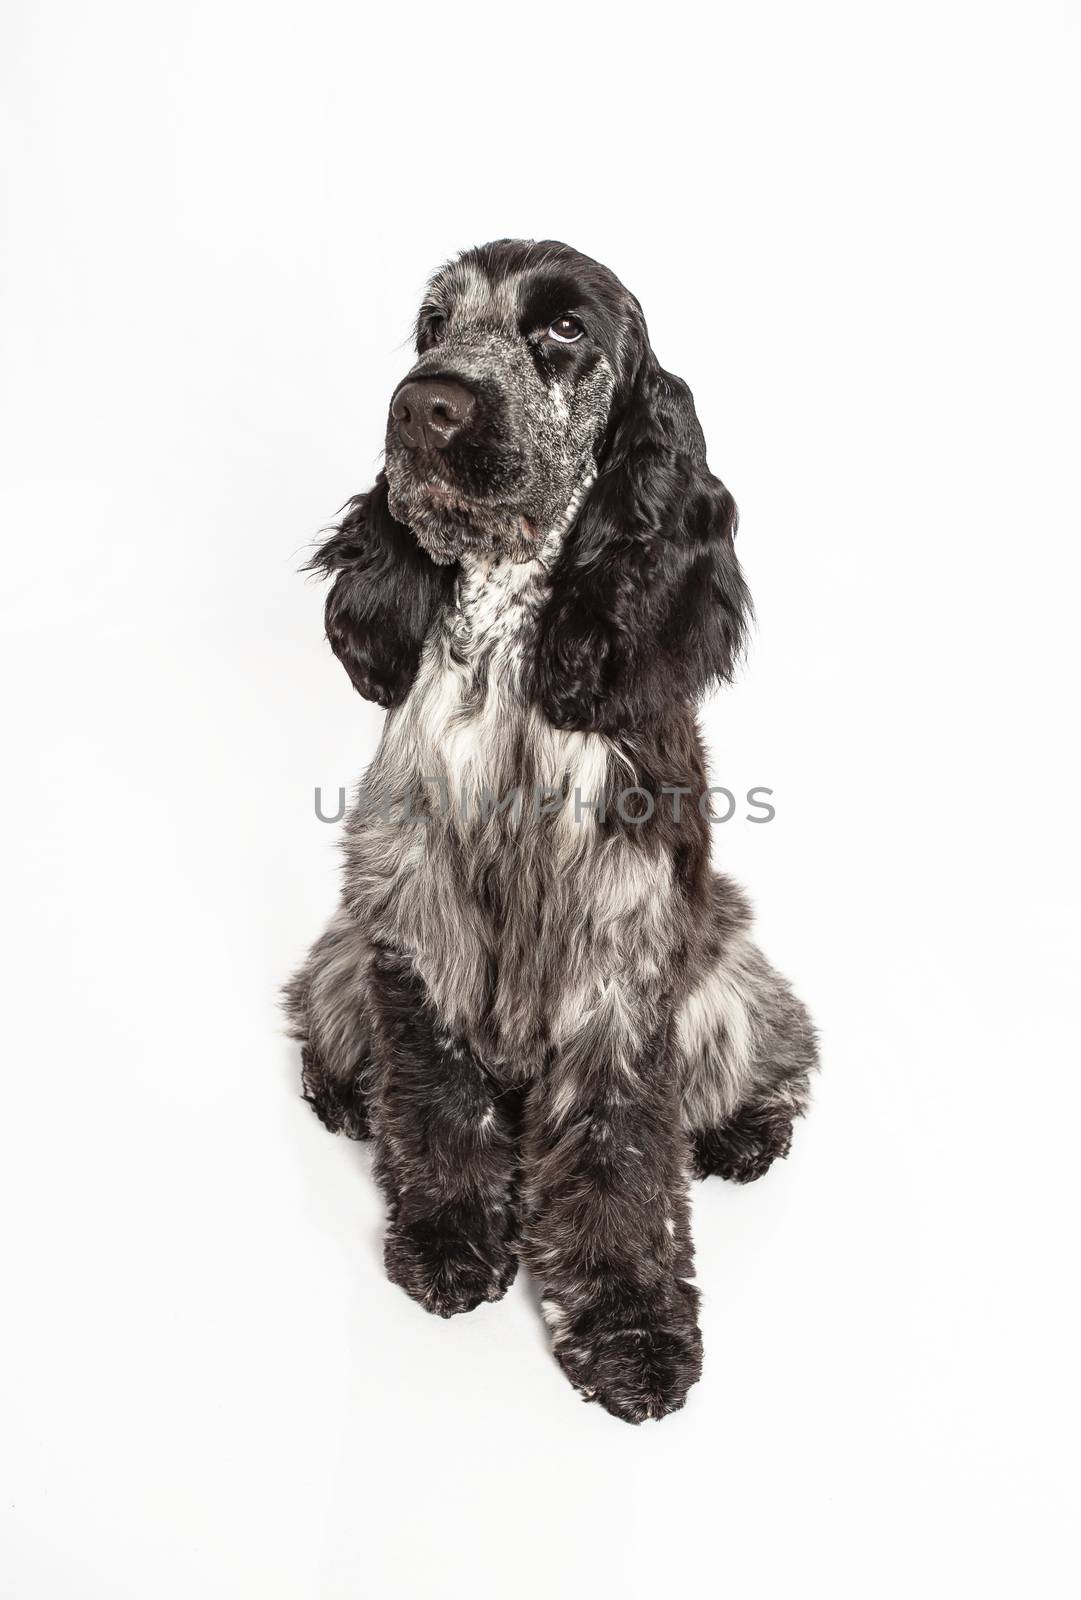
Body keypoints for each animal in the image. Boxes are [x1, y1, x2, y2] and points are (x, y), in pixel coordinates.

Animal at [287, 240, 818, 1427]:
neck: (507, 652)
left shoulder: (622, 955)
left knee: (772, 1052)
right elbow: (435, 1095)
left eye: (565, 330)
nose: (423, 404)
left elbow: (622, 1158)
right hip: (341, 947)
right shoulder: (410, 913)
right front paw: (447, 1241)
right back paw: (345, 1098)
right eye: (434, 324)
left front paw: (631, 1331)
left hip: (730, 961)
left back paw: (743, 1132)